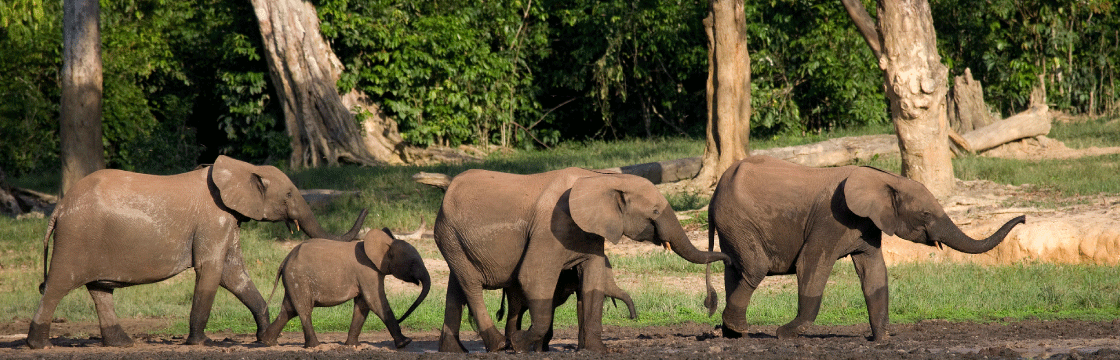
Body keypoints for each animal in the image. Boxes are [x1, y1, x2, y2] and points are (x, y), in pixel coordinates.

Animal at [28, 154, 367, 347]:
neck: (240, 168)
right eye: (288, 195)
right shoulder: (213, 220)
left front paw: (262, 338)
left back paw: (121, 345)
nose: (365, 206)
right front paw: (199, 342)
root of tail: (59, 207)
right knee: (58, 285)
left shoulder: (227, 220)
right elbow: (212, 270)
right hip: (76, 238)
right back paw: (38, 345)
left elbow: (234, 274)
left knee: (100, 290)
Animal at [262, 226, 432, 347]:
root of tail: (285, 259)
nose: (401, 317)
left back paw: (268, 342)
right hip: (299, 278)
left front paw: (353, 345)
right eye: (412, 263)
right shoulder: (367, 272)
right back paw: (315, 346)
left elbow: (363, 305)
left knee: (288, 310)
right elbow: (376, 302)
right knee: (304, 310)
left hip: (293, 280)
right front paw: (405, 343)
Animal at [501, 263, 640, 349]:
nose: (632, 317)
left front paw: (580, 349)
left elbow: (581, 305)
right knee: (516, 309)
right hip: (513, 289)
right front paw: (541, 349)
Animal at [703, 155, 1025, 340]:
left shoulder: (867, 224)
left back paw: (733, 335)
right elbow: (811, 265)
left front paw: (882, 340)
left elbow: (875, 273)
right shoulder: (831, 219)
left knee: (735, 268)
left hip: (733, 224)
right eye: (925, 215)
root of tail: (716, 189)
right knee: (755, 267)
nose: (1022, 218)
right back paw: (740, 331)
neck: (884, 178)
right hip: (737, 219)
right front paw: (785, 335)